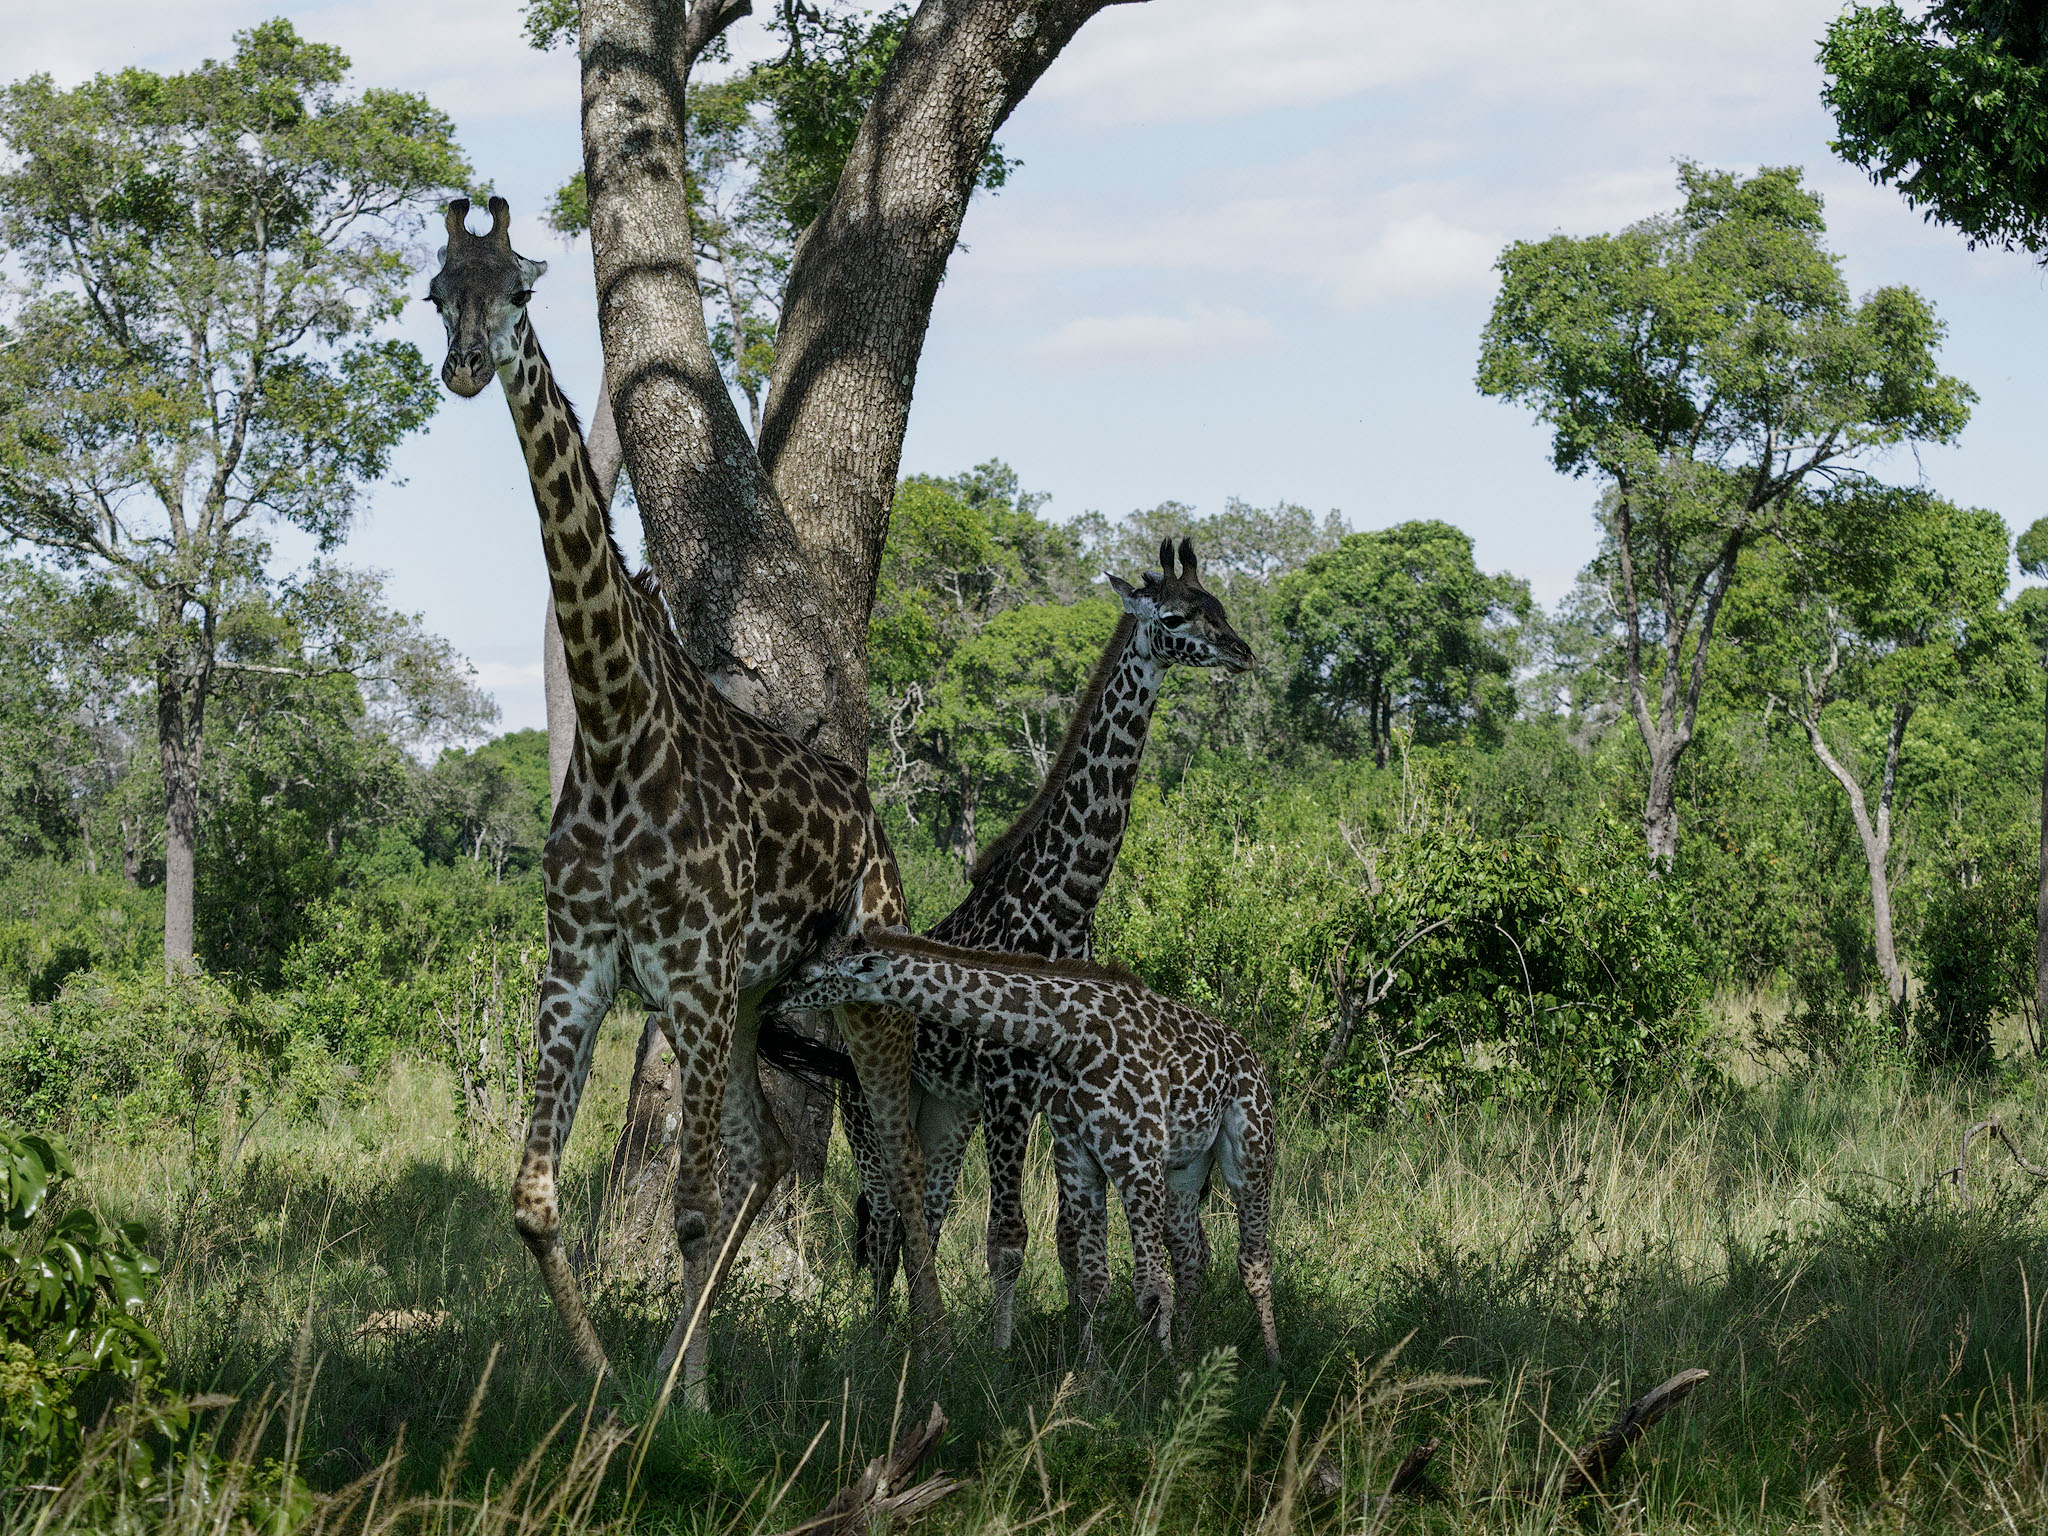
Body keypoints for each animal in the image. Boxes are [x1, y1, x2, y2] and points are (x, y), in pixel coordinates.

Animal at [425, 197, 940, 1404]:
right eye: (435, 291)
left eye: (518, 288)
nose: (465, 366)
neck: (617, 726)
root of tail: (873, 823)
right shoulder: (586, 965)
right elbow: (535, 1201)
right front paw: (620, 1394)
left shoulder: (693, 970)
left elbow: (693, 1205)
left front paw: (685, 1406)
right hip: (751, 997)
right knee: (778, 1151)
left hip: (859, 982)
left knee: (897, 1159)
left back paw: (941, 1362)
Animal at [761, 542, 1251, 1343]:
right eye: (1177, 618)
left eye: (1220, 608)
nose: (1242, 653)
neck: (1067, 903)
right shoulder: (1005, 1084)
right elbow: (1007, 1238)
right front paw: (1000, 1352)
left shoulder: (1048, 1094)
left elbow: (1068, 1239)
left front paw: (1077, 1340)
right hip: (874, 1108)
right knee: (882, 1218)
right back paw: (880, 1335)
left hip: (945, 1109)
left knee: (920, 1214)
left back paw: (910, 1332)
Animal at [767, 927, 1281, 1367]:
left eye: (808, 974)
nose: (772, 999)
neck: (1071, 1036)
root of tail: (1252, 1054)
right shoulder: (1077, 1154)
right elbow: (1095, 1284)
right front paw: (1090, 1380)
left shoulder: (1135, 1154)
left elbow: (1151, 1290)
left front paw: (1158, 1382)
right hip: (1186, 1168)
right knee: (1194, 1256)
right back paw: (1193, 1355)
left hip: (1251, 1150)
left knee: (1252, 1260)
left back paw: (1272, 1364)